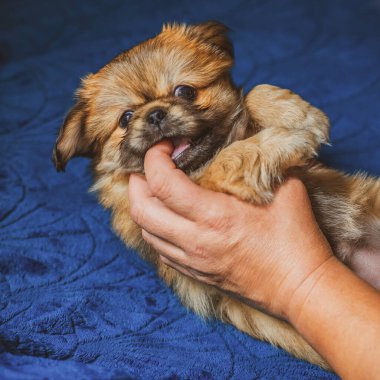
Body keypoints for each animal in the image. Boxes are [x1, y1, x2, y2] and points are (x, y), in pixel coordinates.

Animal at [52, 20, 380, 368]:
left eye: (184, 91)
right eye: (125, 119)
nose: (154, 114)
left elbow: (254, 93)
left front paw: (295, 113)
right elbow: (225, 162)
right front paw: (283, 138)